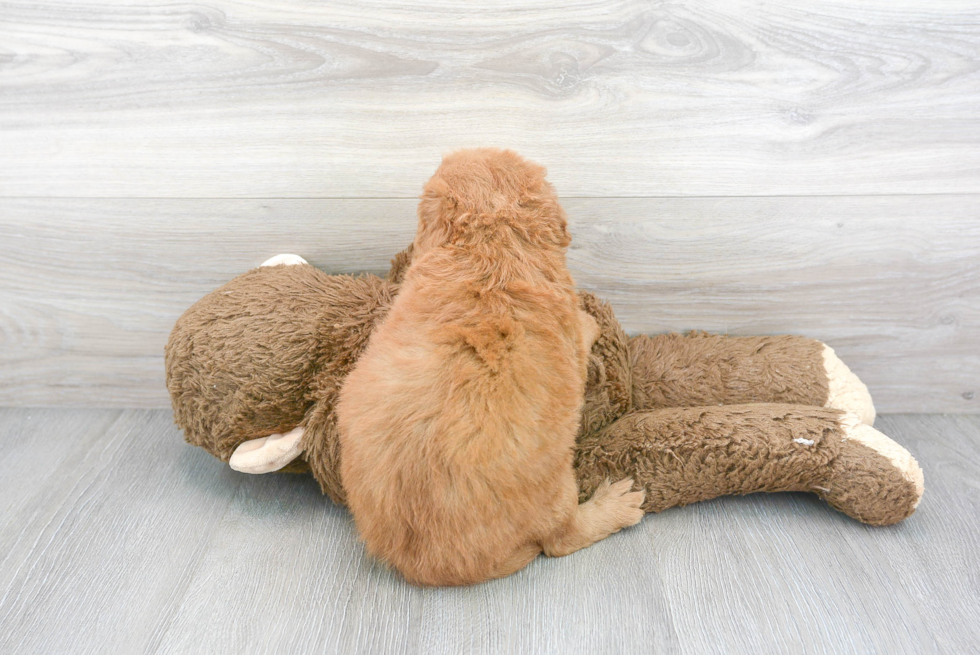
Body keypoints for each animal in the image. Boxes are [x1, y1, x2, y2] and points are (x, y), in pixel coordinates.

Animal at [336, 150, 644, 588]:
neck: (489, 242)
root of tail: (424, 564)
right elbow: (582, 331)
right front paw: (591, 320)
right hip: (556, 488)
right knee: (562, 539)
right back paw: (616, 504)